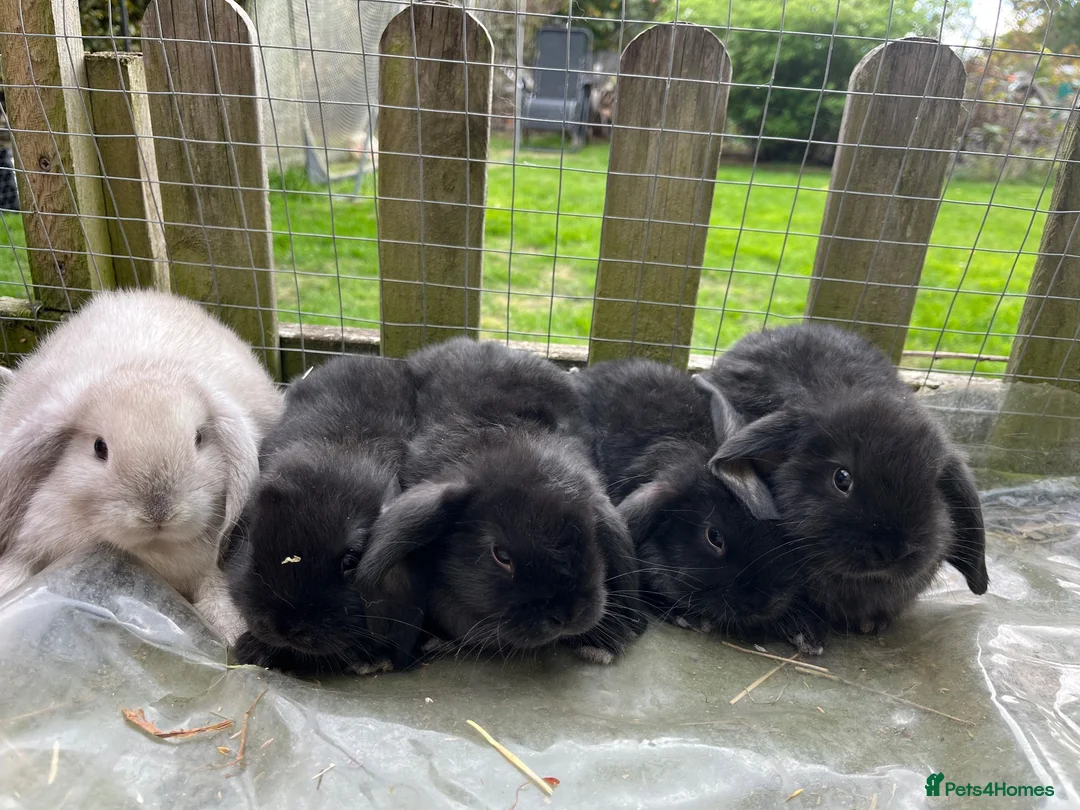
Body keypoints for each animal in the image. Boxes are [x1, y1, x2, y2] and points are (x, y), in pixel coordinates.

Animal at [0, 290, 283, 642]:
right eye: (99, 447)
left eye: (199, 438)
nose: (158, 512)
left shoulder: (208, 570)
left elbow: (217, 597)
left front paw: (233, 634)